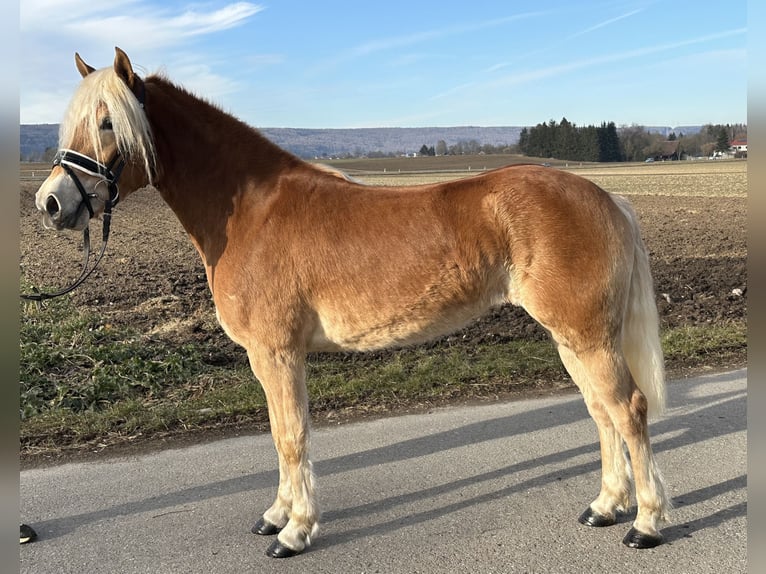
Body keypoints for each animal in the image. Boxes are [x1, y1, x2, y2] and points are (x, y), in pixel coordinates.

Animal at [33, 47, 672, 560]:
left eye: (108, 122)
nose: (52, 203)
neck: (249, 210)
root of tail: (607, 198)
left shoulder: (277, 353)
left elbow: (291, 436)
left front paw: (295, 532)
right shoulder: (272, 358)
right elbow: (281, 432)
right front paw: (276, 516)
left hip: (587, 336)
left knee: (628, 409)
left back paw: (644, 523)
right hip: (571, 337)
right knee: (601, 413)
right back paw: (605, 506)